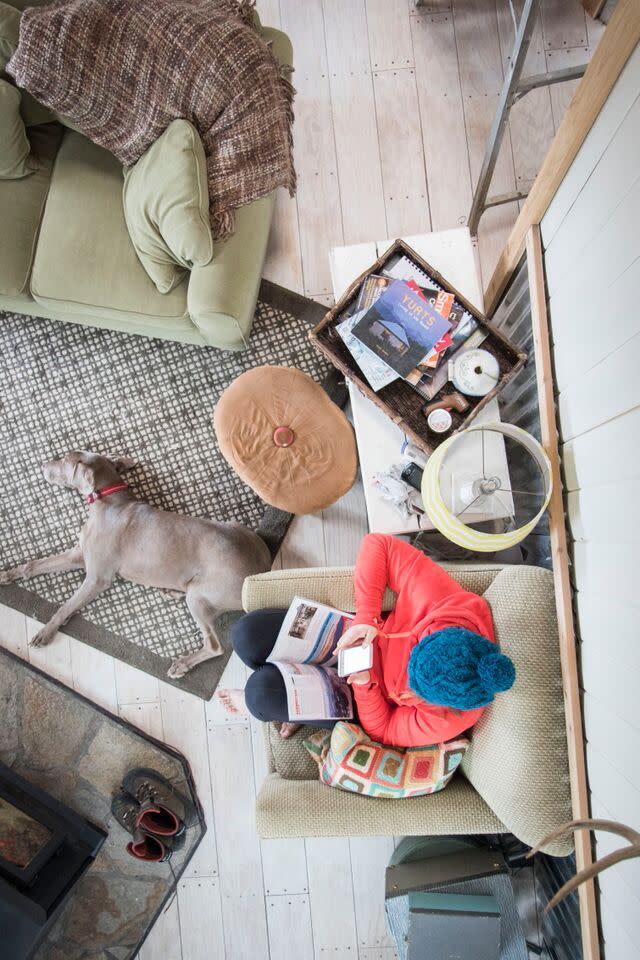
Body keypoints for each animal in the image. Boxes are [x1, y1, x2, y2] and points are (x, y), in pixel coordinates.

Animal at [0, 454, 270, 680]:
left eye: (65, 460)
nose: (42, 464)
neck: (108, 500)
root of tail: (262, 570)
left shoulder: (98, 577)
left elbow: (66, 606)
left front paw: (46, 632)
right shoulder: (78, 555)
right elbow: (35, 565)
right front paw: (8, 574)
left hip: (201, 596)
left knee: (213, 645)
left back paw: (182, 664)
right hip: (234, 530)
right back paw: (170, 591)